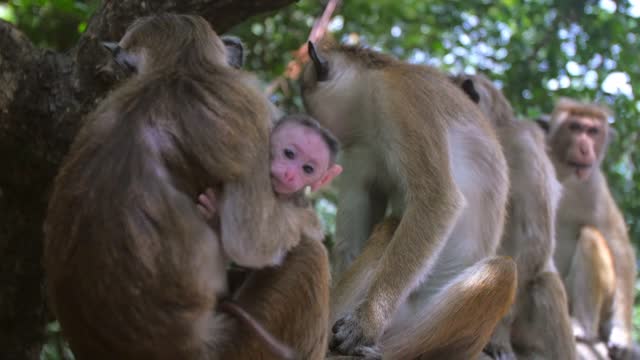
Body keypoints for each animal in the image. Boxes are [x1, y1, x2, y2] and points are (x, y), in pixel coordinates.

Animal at [43, 13, 330, 360]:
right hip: (249, 345)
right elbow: (251, 243)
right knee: (310, 255)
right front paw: (308, 219)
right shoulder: (253, 108)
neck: (175, 69)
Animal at [302, 40, 516, 358]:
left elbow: (438, 199)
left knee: (502, 271)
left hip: (420, 326)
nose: (316, 133)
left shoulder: (403, 98)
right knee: (390, 226)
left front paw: (366, 323)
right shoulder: (361, 150)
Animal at [544, 97, 636, 358]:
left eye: (593, 131)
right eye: (575, 127)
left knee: (590, 236)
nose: (585, 148)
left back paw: (583, 327)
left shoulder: (595, 186)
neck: (564, 175)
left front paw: (622, 334)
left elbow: (619, 248)